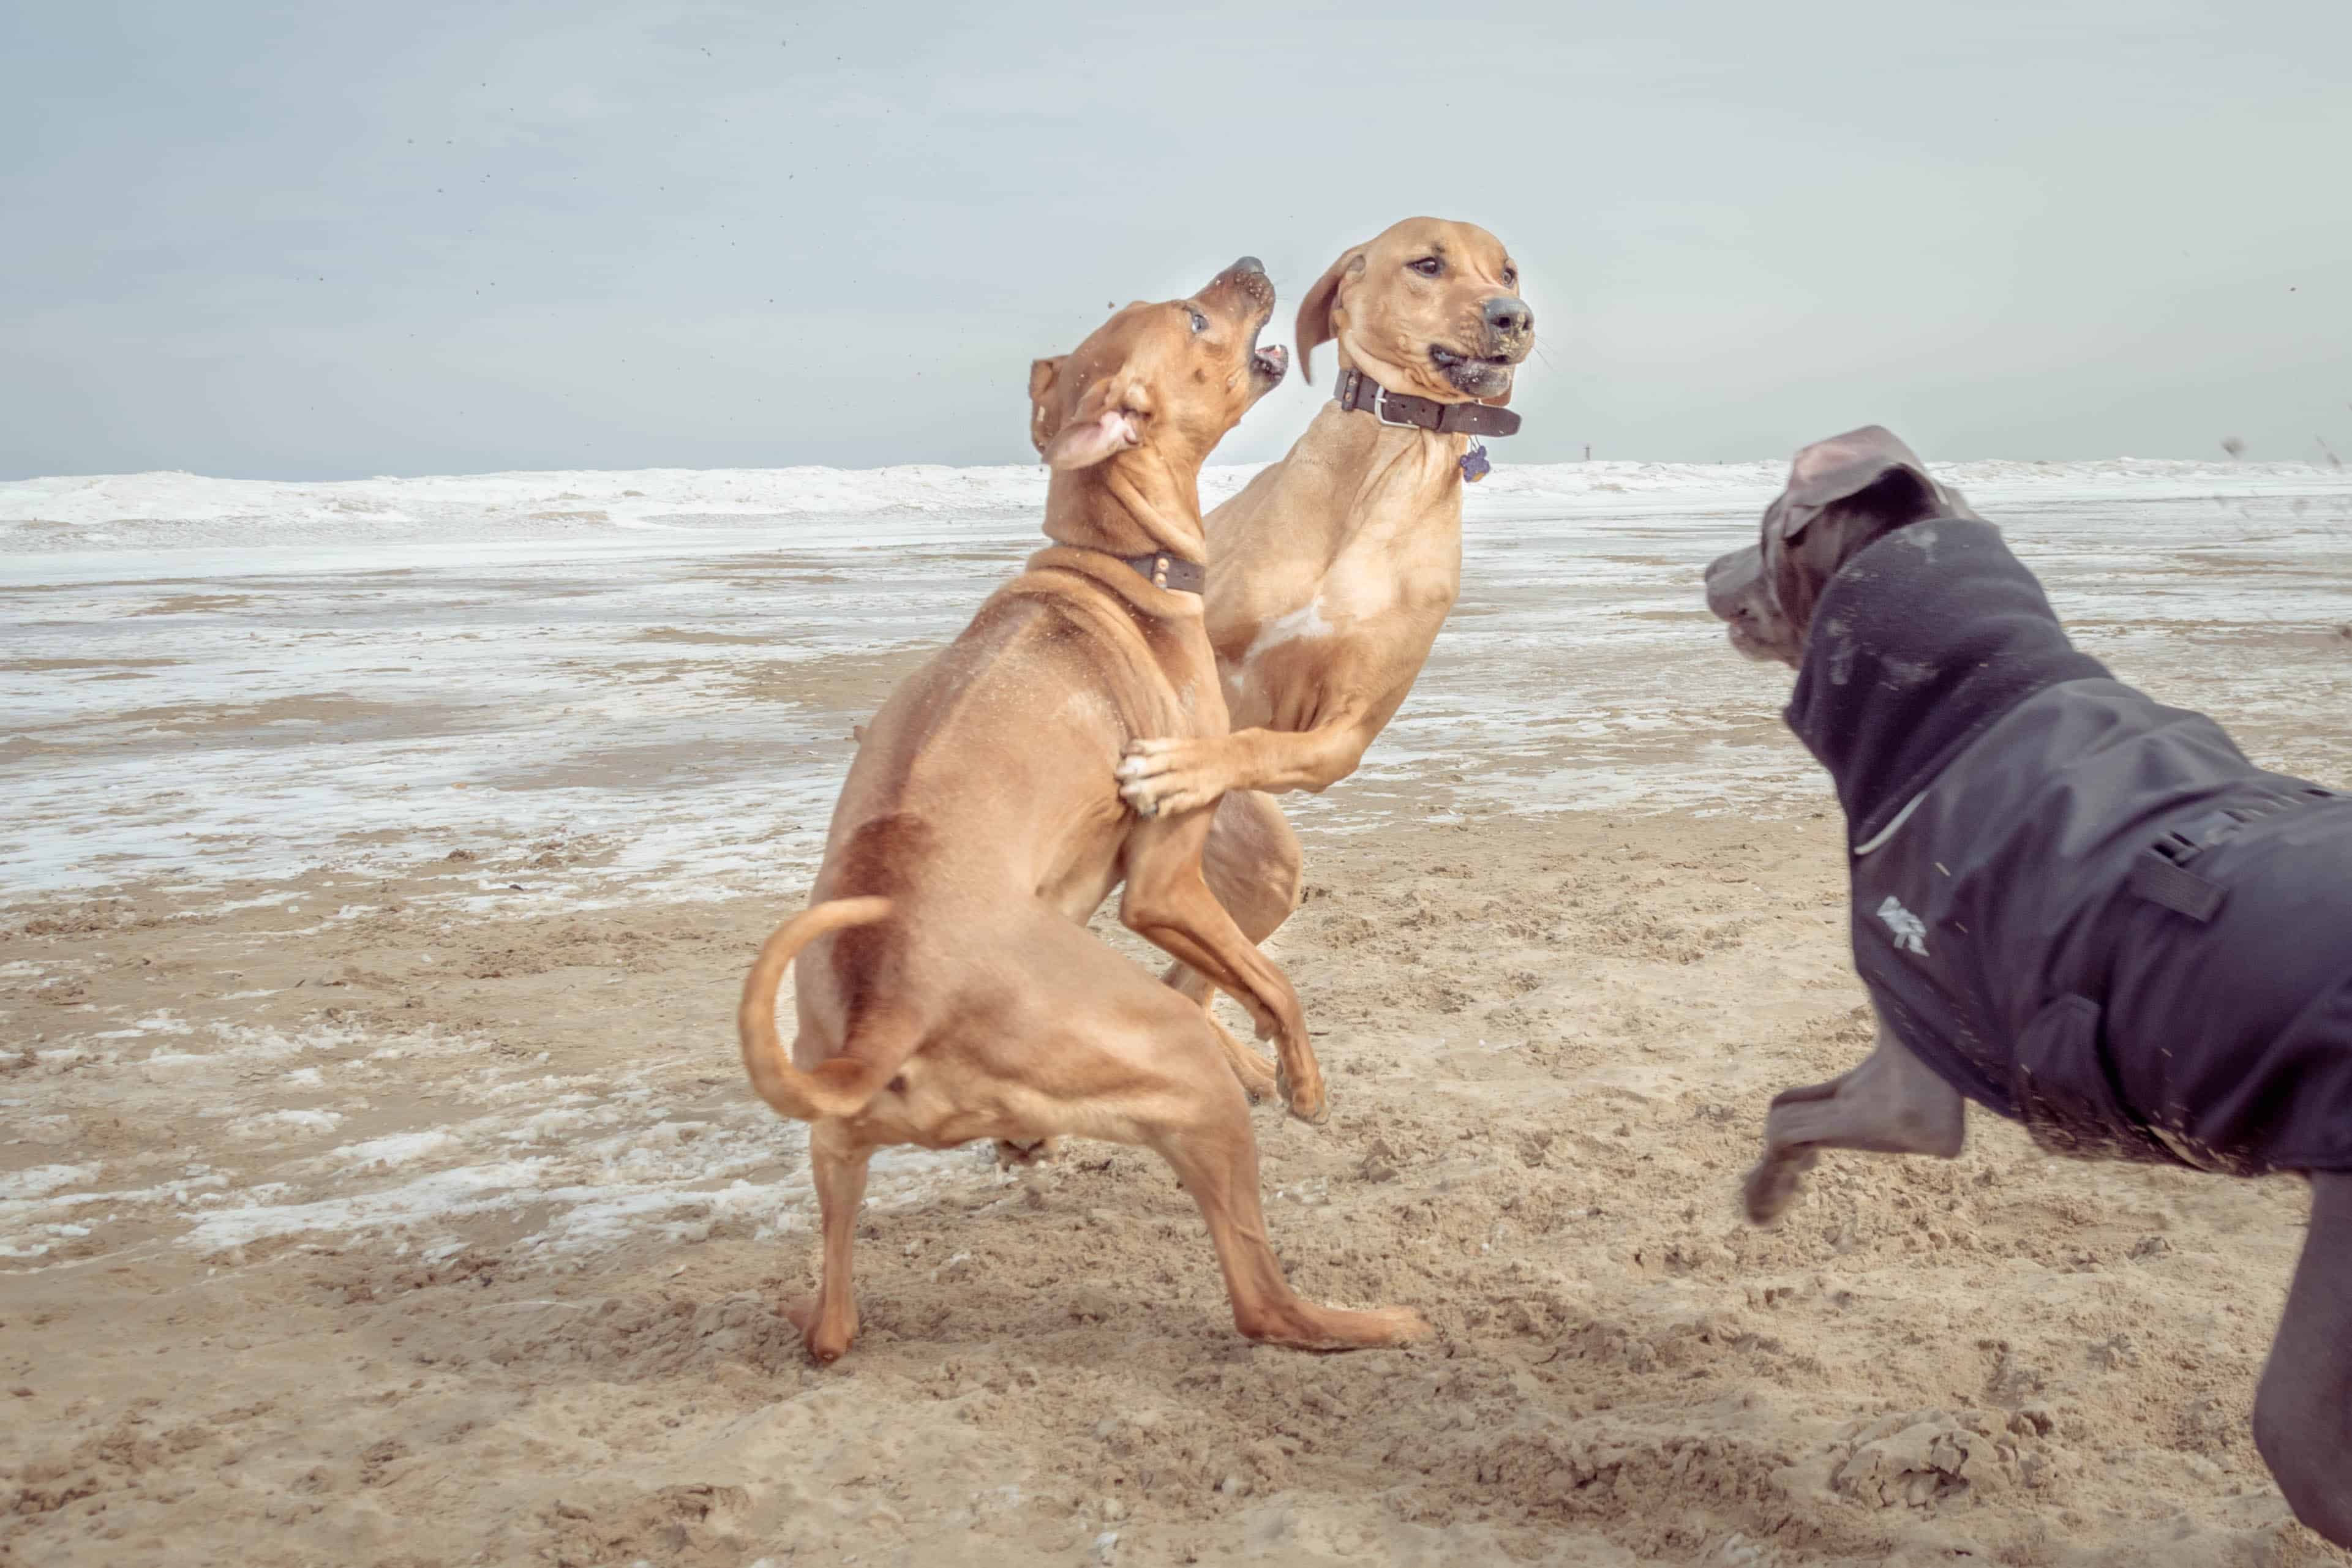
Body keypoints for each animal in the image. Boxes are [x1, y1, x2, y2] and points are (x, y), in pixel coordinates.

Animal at [734, 257, 1430, 1363]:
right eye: (1194, 317)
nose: (1251, 268)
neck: (1116, 564)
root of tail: (888, 1019)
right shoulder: (1163, 883)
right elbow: (1273, 980)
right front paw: (1303, 1082)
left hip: (837, 1145)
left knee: (837, 1326)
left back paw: (825, 1301)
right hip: (1173, 1069)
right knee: (1261, 1301)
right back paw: (1374, 1319)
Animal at [1110, 220, 1533, 1090]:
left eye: (1507, 270)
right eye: (1428, 264)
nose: (1513, 315)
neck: (1387, 465)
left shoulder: (1344, 734)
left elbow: (1257, 740)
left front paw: (1188, 764)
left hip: (1268, 872)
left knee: (1193, 973)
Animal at [1712, 425, 2352, 1542]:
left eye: (1762, 528)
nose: (1702, 569)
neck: (1969, 696)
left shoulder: (1913, 1092)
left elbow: (1786, 1111)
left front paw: (1766, 1194)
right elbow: (1792, 1097)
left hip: (2306, 1403)